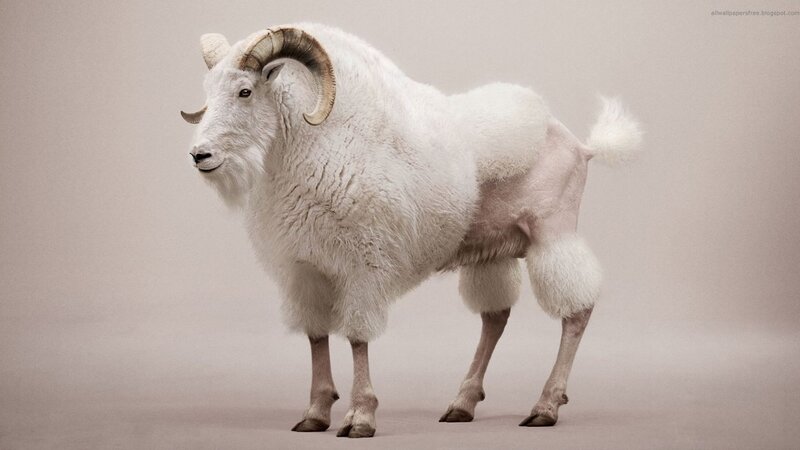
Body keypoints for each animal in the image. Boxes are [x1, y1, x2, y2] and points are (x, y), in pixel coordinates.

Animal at [180, 23, 642, 438]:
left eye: (245, 91)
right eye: (209, 92)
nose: (200, 155)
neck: (319, 146)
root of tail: (581, 146)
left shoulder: (362, 268)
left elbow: (358, 337)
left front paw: (360, 417)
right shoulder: (307, 272)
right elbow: (316, 337)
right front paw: (315, 414)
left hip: (553, 233)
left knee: (576, 311)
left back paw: (545, 406)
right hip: (495, 251)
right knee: (495, 318)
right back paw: (462, 404)